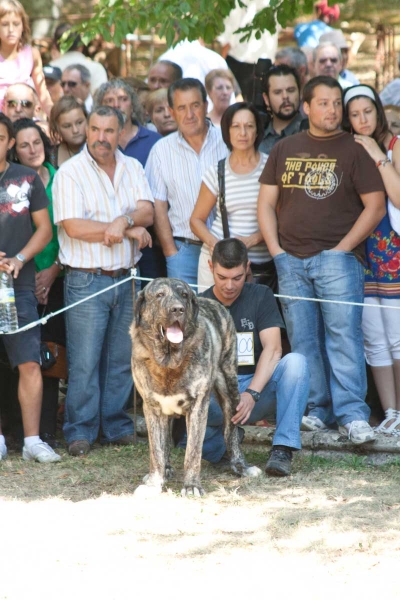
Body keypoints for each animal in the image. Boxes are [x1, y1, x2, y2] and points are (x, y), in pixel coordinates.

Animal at [131, 278, 260, 494]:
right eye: (159, 295)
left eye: (184, 295)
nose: (178, 309)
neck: (169, 362)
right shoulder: (152, 407)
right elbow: (156, 450)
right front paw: (154, 482)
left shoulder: (198, 406)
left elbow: (192, 451)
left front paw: (191, 486)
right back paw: (165, 469)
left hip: (229, 387)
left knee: (231, 433)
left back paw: (242, 466)